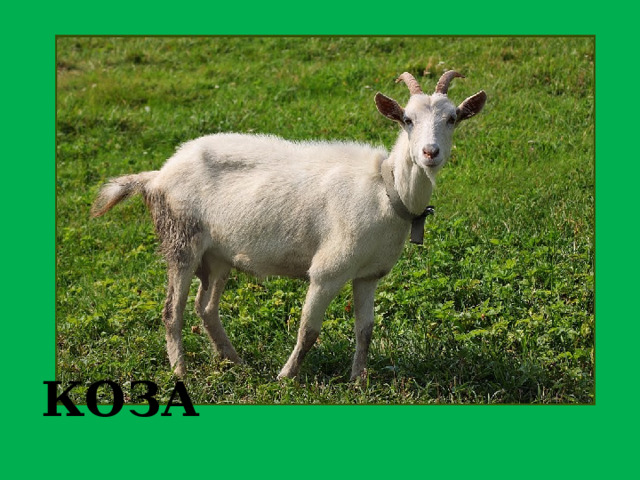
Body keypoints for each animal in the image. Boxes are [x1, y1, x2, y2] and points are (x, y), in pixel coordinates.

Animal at [92, 70, 486, 380]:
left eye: (452, 119)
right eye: (406, 119)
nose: (430, 153)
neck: (386, 190)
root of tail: (157, 175)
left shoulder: (368, 274)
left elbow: (365, 330)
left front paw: (358, 380)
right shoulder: (328, 270)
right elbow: (308, 330)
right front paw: (286, 377)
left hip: (217, 256)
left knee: (206, 308)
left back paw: (235, 362)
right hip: (181, 240)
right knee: (171, 311)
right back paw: (181, 371)